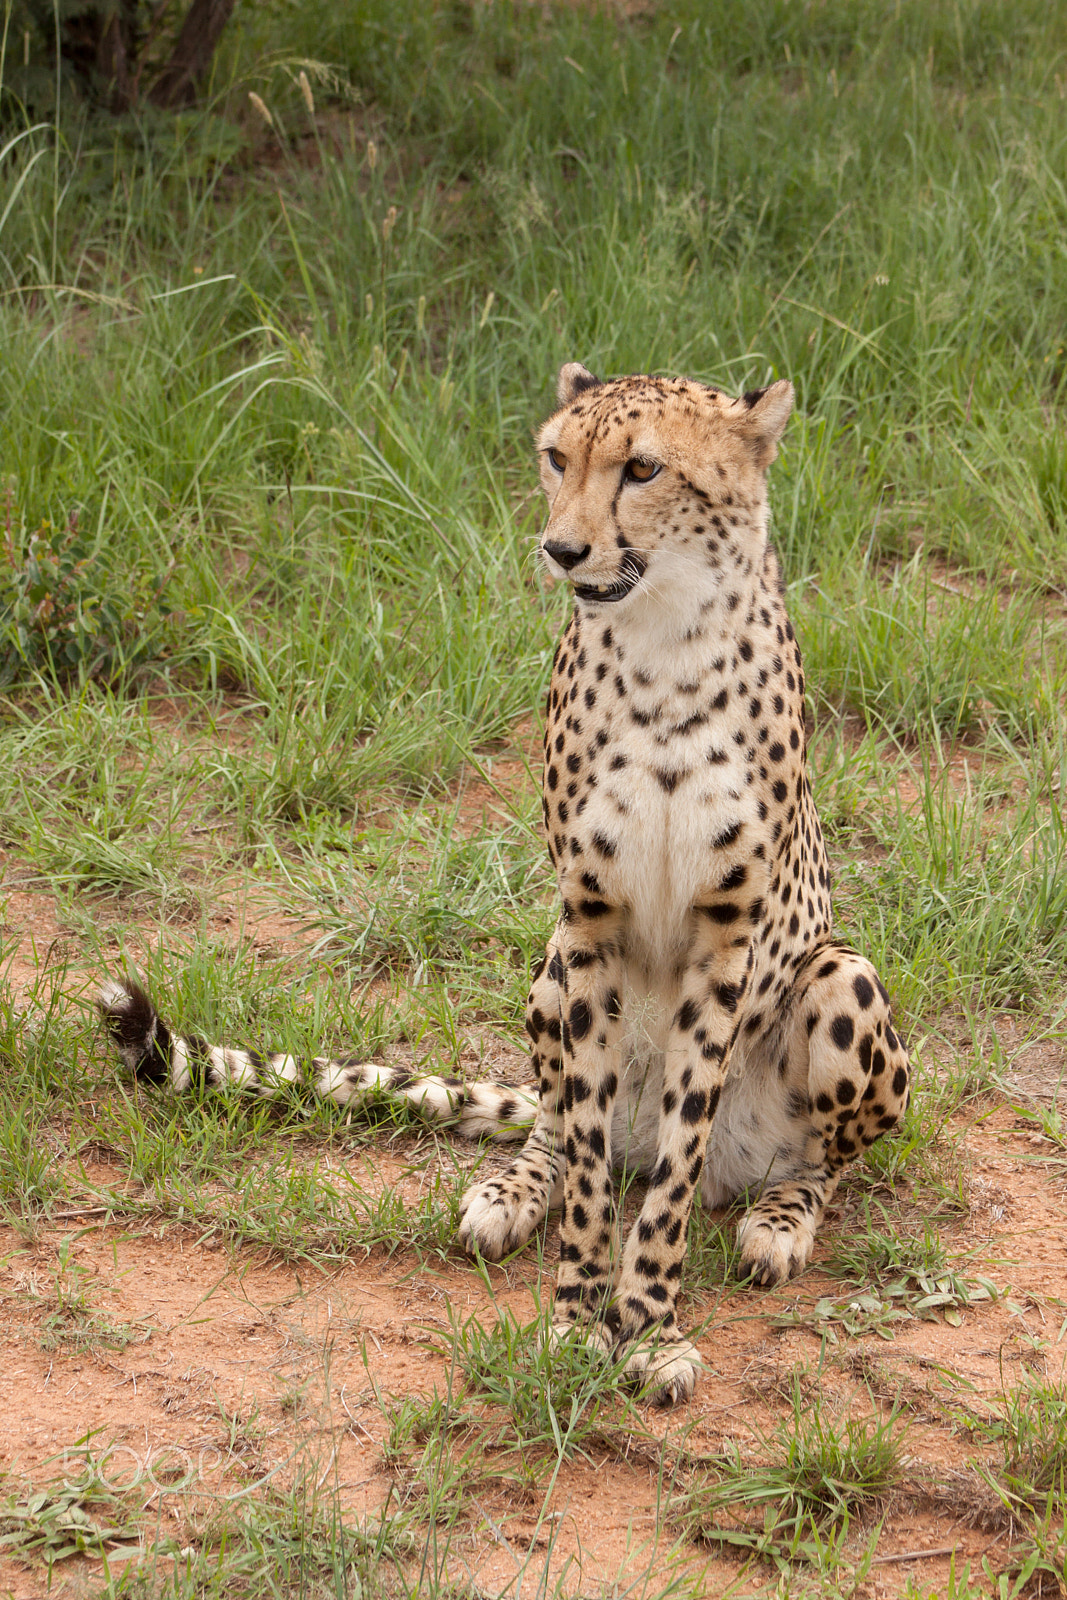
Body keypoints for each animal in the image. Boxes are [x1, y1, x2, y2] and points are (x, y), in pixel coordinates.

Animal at [98, 361, 910, 1406]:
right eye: (556, 458)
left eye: (643, 468)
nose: (562, 548)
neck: (662, 642)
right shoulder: (590, 921)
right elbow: (592, 1170)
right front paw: (574, 1322)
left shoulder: (727, 939)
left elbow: (675, 1178)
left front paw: (648, 1328)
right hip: (551, 960)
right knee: (563, 1124)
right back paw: (516, 1188)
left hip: (840, 976)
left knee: (815, 1155)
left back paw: (778, 1215)